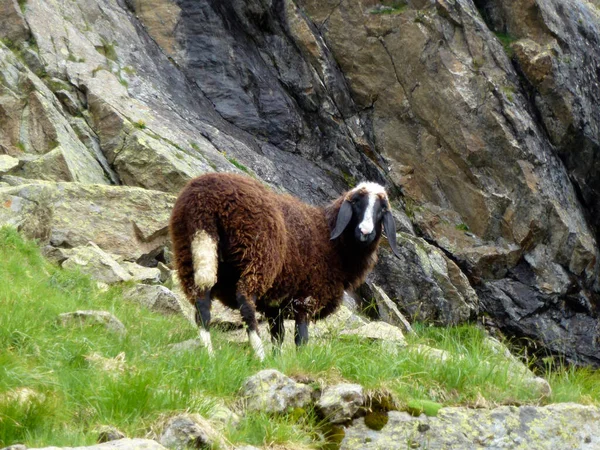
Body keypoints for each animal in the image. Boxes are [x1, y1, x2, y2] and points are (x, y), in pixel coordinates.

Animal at [169, 171, 400, 358]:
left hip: (188, 251)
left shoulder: (275, 304)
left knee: (201, 303)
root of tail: (205, 199)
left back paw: (208, 354)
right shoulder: (307, 298)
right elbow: (301, 337)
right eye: (357, 202)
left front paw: (277, 360)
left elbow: (278, 336)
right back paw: (258, 354)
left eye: (381, 209)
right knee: (245, 301)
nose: (365, 232)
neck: (331, 238)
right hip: (258, 257)